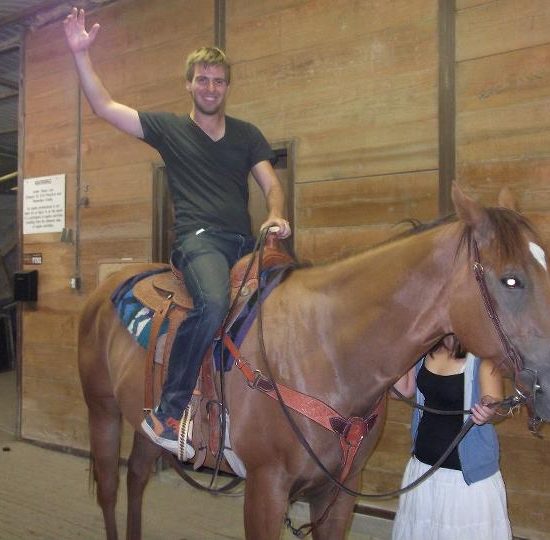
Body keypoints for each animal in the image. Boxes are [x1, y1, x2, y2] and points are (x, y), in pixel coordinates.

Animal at [80, 186, 550, 540]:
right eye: (511, 279)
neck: (325, 351)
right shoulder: (266, 490)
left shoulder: (338, 493)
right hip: (102, 409)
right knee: (109, 488)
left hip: (140, 417)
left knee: (137, 477)